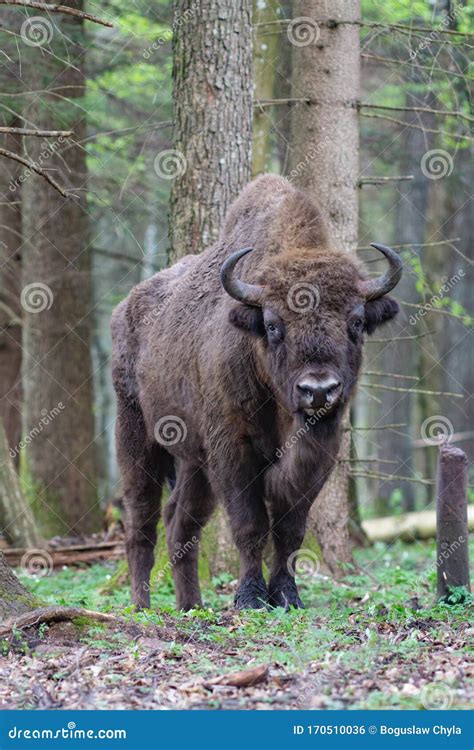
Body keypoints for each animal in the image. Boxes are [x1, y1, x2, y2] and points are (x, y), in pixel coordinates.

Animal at [112, 173, 404, 612]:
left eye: (355, 322)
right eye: (271, 324)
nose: (318, 390)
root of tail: (124, 309)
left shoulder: (319, 455)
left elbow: (290, 528)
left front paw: (286, 594)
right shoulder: (233, 450)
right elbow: (250, 525)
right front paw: (250, 597)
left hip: (195, 462)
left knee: (180, 520)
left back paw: (191, 604)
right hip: (135, 436)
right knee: (141, 521)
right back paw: (141, 605)